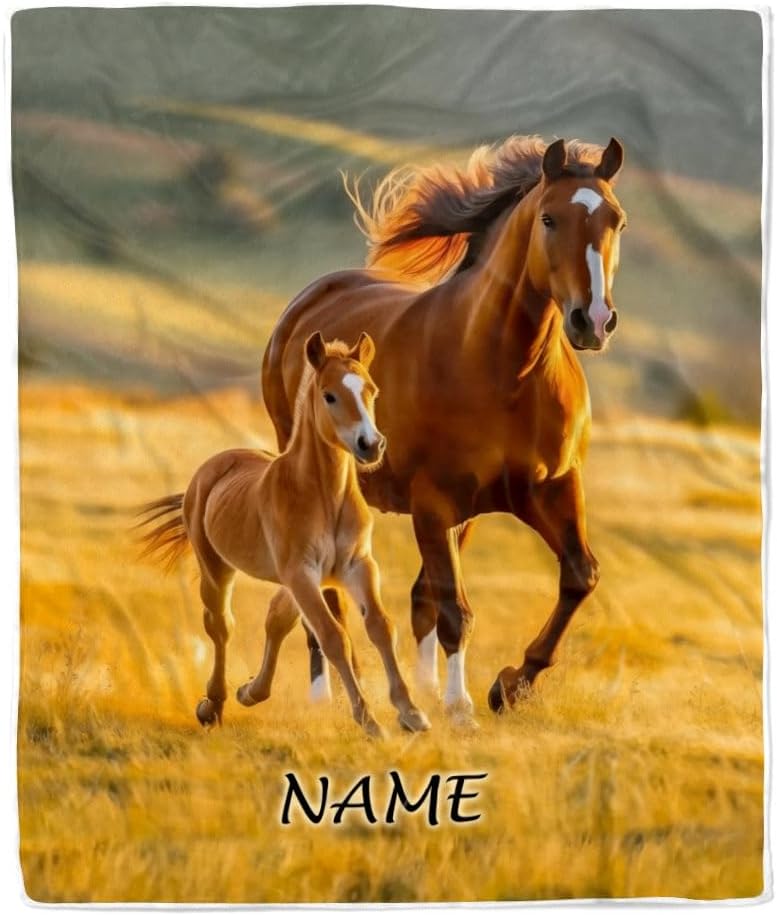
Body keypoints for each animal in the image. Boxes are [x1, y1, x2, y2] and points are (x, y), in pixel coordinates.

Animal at [137, 332, 431, 739]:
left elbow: (380, 627)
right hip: (217, 569)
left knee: (276, 618)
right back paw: (213, 705)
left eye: (372, 390)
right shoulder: (301, 572)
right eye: (329, 395)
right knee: (220, 626)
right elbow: (333, 636)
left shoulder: (356, 566)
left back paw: (250, 691)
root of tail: (213, 467)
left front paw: (411, 712)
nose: (370, 445)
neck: (325, 498)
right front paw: (369, 720)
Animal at [261, 136, 627, 724]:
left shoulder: (548, 489)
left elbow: (578, 576)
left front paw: (509, 686)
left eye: (617, 220)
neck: (505, 371)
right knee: (321, 594)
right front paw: (460, 706)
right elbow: (456, 610)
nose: (591, 320)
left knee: (414, 596)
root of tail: (308, 302)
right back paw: (327, 696)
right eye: (548, 219)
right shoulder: (432, 504)